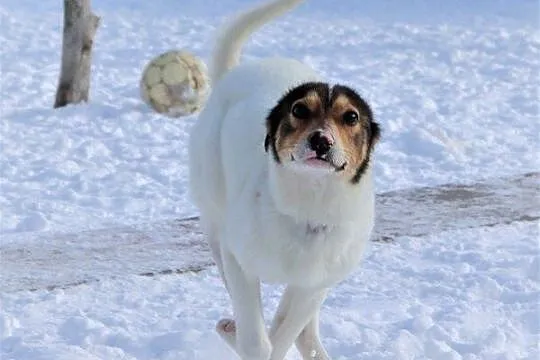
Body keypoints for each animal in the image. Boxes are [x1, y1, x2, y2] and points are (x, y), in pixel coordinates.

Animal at [189, 1, 380, 358]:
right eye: (300, 110)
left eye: (351, 116)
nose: (321, 141)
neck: (307, 211)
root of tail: (235, 73)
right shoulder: (238, 258)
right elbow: (257, 337)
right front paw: (239, 335)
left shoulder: (315, 283)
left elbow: (285, 330)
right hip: (215, 215)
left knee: (301, 328)